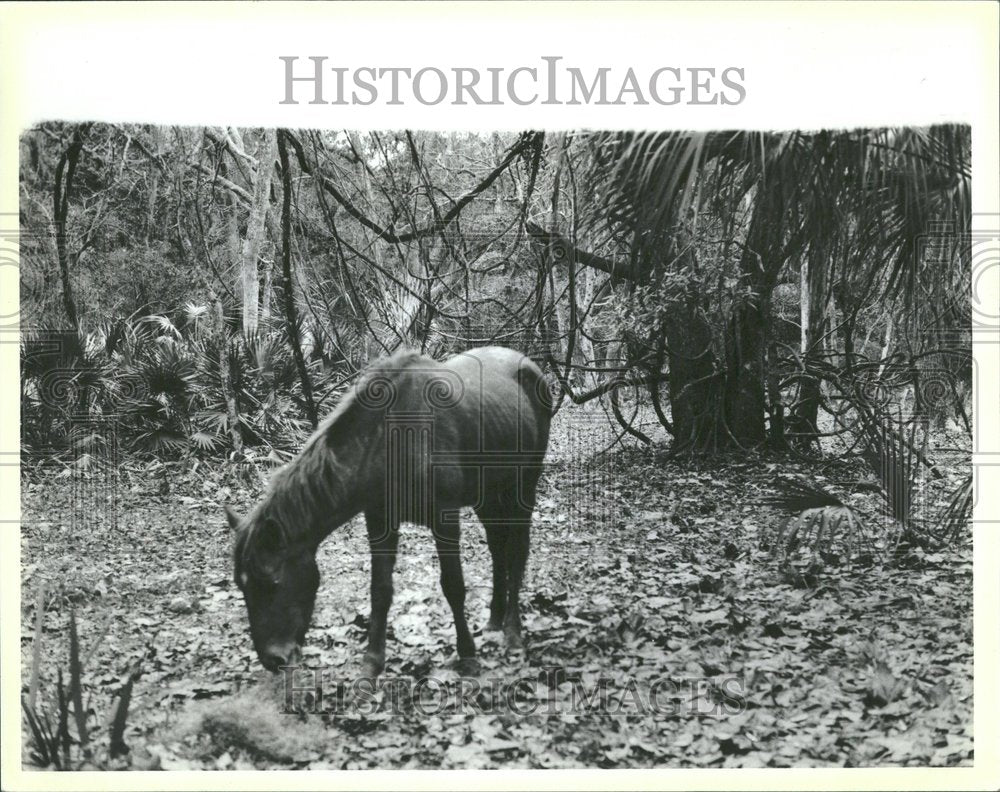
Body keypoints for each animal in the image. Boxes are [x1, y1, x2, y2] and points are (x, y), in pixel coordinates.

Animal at [228, 344, 552, 676]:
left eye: (273, 583)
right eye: (241, 586)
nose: (273, 660)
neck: (394, 438)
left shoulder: (445, 518)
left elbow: (453, 586)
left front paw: (468, 656)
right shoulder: (380, 520)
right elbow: (380, 590)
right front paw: (372, 662)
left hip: (524, 486)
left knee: (517, 552)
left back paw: (513, 633)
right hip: (487, 495)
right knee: (498, 549)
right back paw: (494, 621)